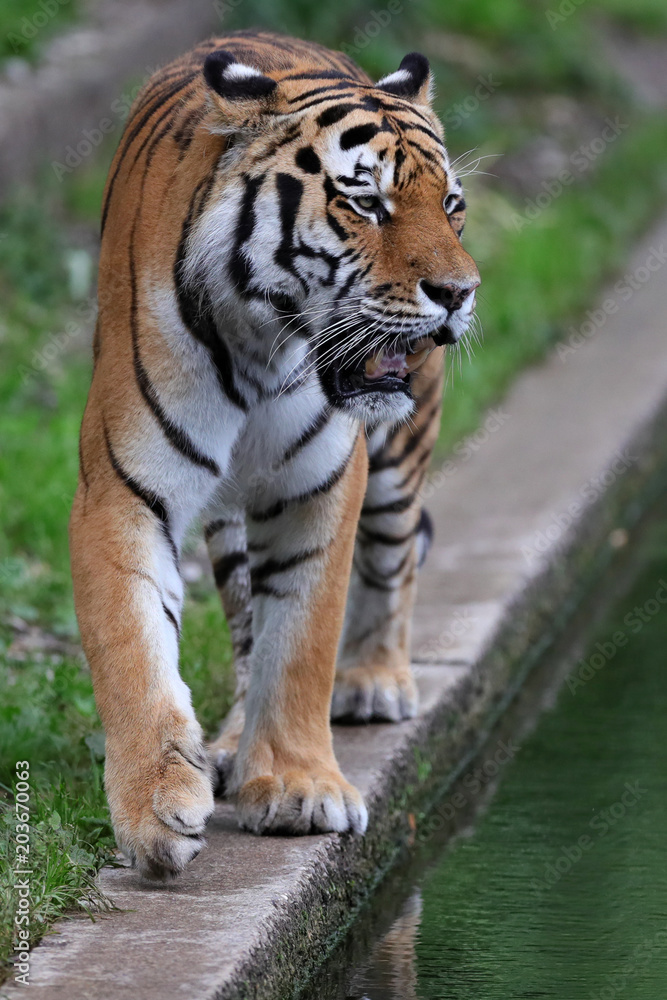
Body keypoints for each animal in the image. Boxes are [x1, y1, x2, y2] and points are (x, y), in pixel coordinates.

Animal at [69, 29, 480, 879]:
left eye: (450, 205)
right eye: (367, 203)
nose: (460, 293)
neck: (262, 341)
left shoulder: (320, 483)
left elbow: (302, 640)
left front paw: (296, 787)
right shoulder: (121, 491)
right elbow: (133, 650)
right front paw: (156, 809)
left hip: (401, 452)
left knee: (393, 558)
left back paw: (374, 679)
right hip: (229, 526)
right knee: (242, 619)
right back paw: (228, 743)